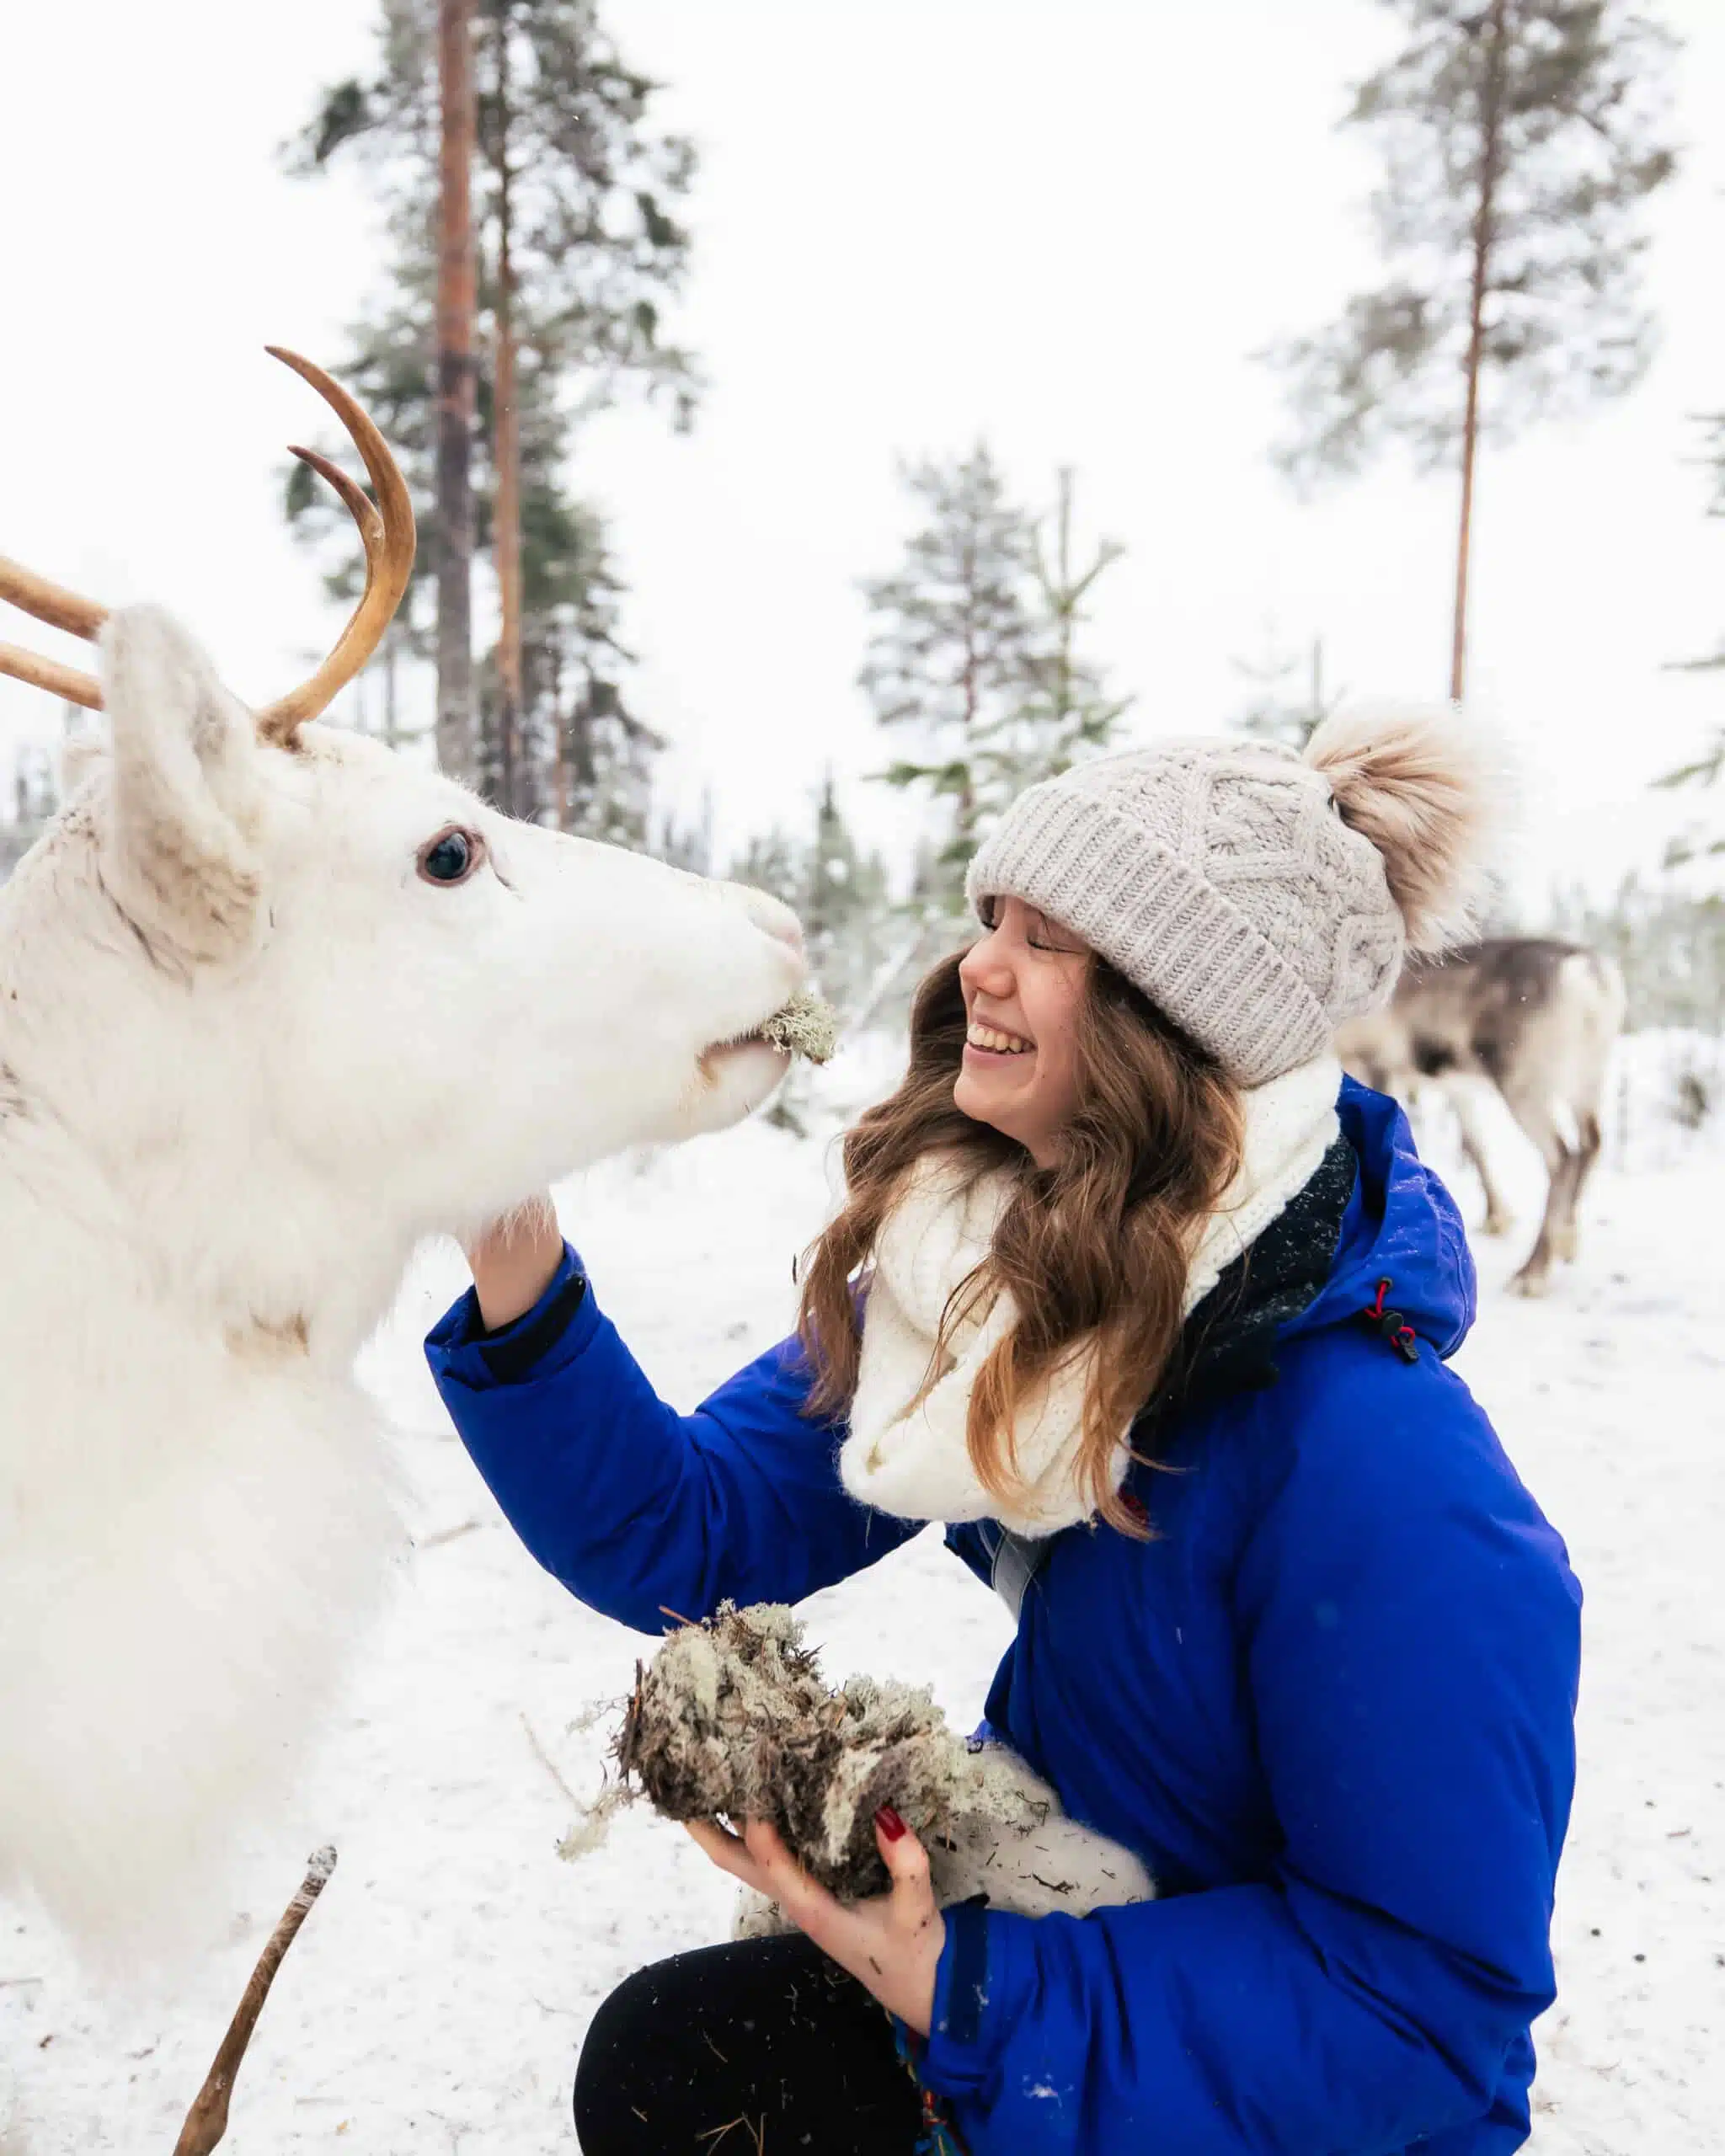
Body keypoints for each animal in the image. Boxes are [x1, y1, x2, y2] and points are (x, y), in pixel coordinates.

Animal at [1335, 939, 1626, 1296]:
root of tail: (1590, 975)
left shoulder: (1377, 1065)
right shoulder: (1458, 1088)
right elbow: (1474, 1146)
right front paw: (1497, 1218)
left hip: (1524, 1084)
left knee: (1562, 1156)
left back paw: (1531, 1273)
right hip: (1587, 1078)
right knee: (1591, 1141)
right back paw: (1566, 1241)